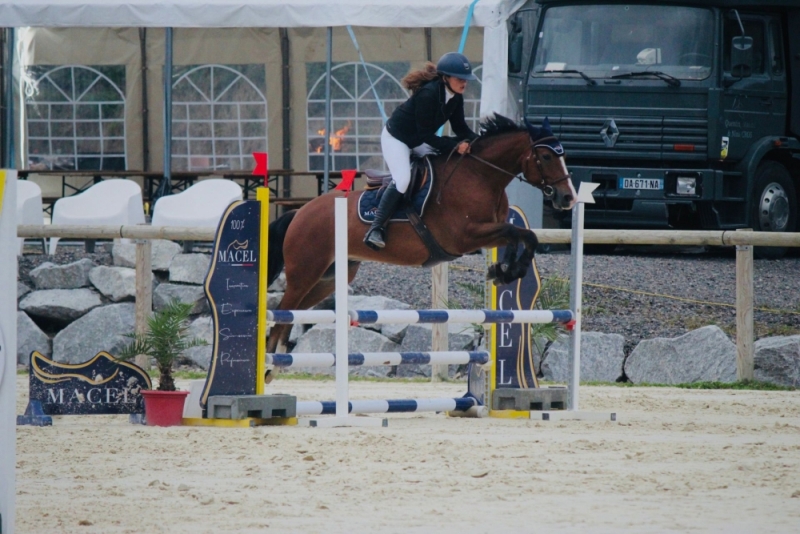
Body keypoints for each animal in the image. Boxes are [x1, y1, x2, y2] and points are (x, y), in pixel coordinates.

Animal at [268, 113, 576, 356]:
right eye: (546, 156)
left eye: (563, 155)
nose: (568, 198)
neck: (480, 176)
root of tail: (300, 212)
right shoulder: (465, 236)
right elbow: (517, 232)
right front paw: (507, 270)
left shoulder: (486, 234)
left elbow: (523, 236)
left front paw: (503, 271)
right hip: (306, 271)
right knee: (283, 310)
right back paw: (271, 363)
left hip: (329, 277)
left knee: (294, 312)